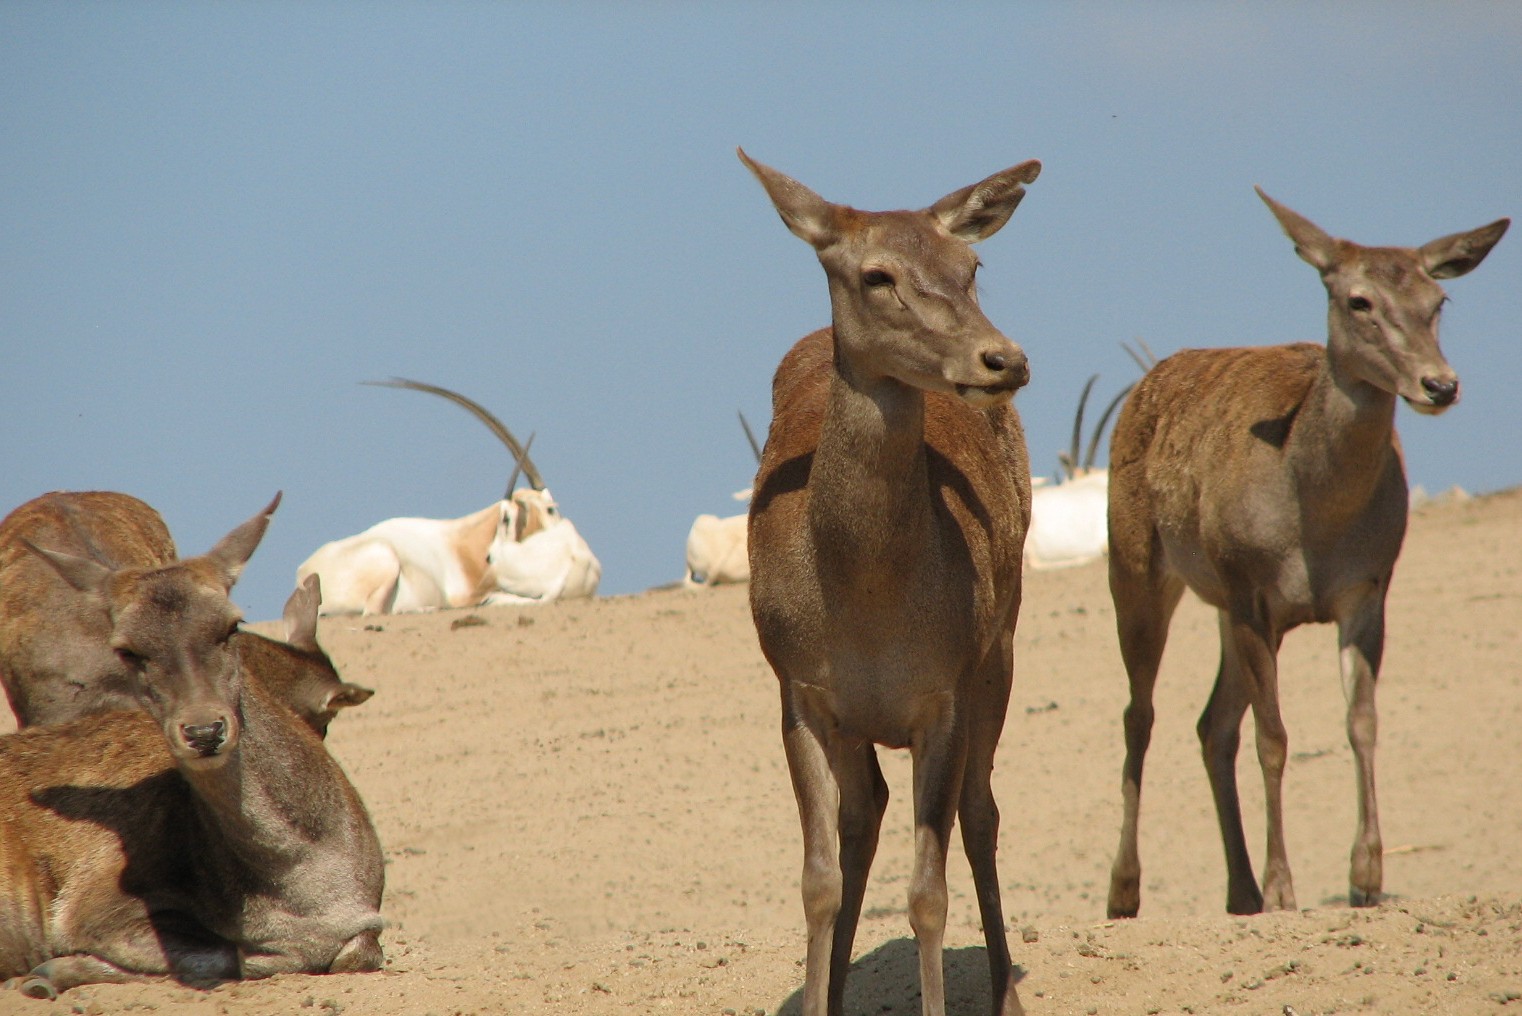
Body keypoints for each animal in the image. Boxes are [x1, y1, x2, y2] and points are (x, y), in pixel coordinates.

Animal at [740, 148, 1039, 1016]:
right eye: (878, 275)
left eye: (972, 267)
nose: (1003, 358)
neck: (867, 606)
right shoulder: (799, 688)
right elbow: (819, 882)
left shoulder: (944, 690)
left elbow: (928, 892)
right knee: (864, 811)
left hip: (1000, 646)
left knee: (981, 811)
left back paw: (1006, 991)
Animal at [1105, 188, 1508, 919]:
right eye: (1358, 300)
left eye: (1439, 300)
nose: (1440, 385)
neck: (1313, 523)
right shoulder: (1249, 589)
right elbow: (1275, 737)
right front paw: (1283, 886)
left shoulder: (1369, 588)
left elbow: (1361, 722)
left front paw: (1365, 876)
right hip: (1140, 563)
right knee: (1139, 713)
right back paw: (1125, 891)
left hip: (1220, 603)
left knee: (1211, 725)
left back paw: (1238, 892)